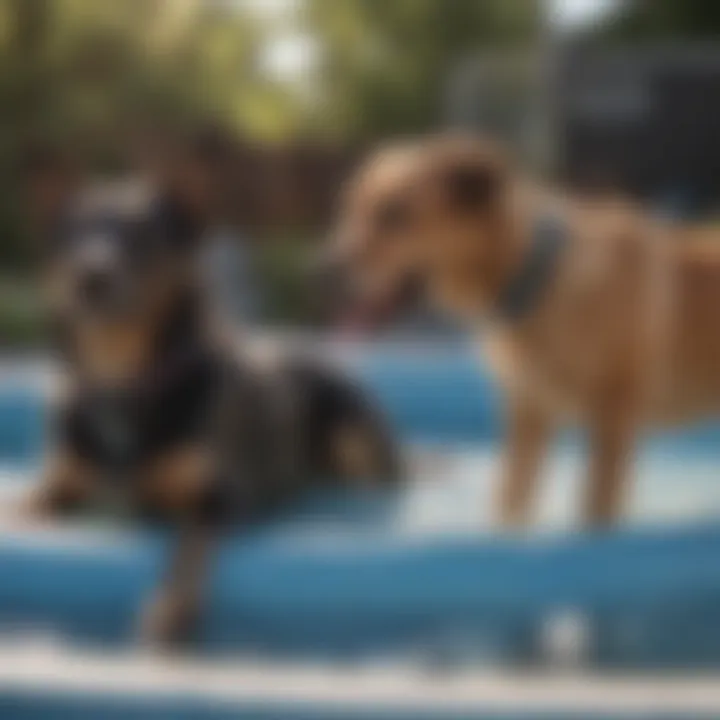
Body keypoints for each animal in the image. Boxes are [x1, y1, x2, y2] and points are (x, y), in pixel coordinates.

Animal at [22, 141, 402, 648]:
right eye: (70, 235)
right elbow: (28, 505)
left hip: (353, 436)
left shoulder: (215, 499)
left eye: (143, 235)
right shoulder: (57, 483)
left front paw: (170, 610)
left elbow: (187, 549)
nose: (90, 276)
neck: (121, 379)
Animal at [324, 135, 720, 528]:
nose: (325, 268)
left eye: (395, 213)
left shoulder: (613, 420)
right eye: (350, 207)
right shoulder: (528, 416)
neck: (533, 276)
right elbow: (511, 499)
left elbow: (594, 508)